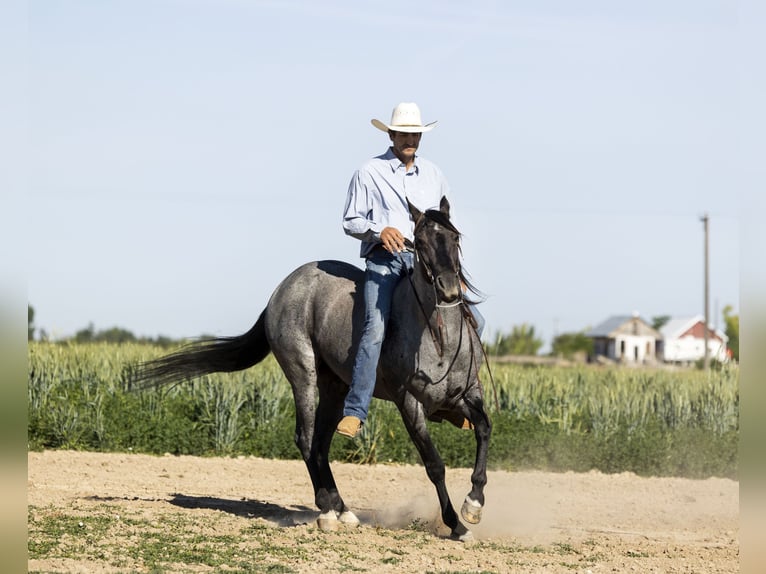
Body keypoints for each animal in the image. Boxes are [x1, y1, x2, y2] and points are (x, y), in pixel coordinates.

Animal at [140, 197, 492, 540]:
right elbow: (434, 464)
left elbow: (484, 429)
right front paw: (456, 524)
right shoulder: (409, 404)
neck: (438, 338)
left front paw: (473, 504)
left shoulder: (467, 395)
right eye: (419, 241)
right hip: (303, 374)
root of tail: (282, 289)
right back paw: (326, 511)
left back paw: (342, 509)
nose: (449, 289)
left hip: (335, 387)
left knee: (321, 444)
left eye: (455, 237)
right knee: (306, 438)